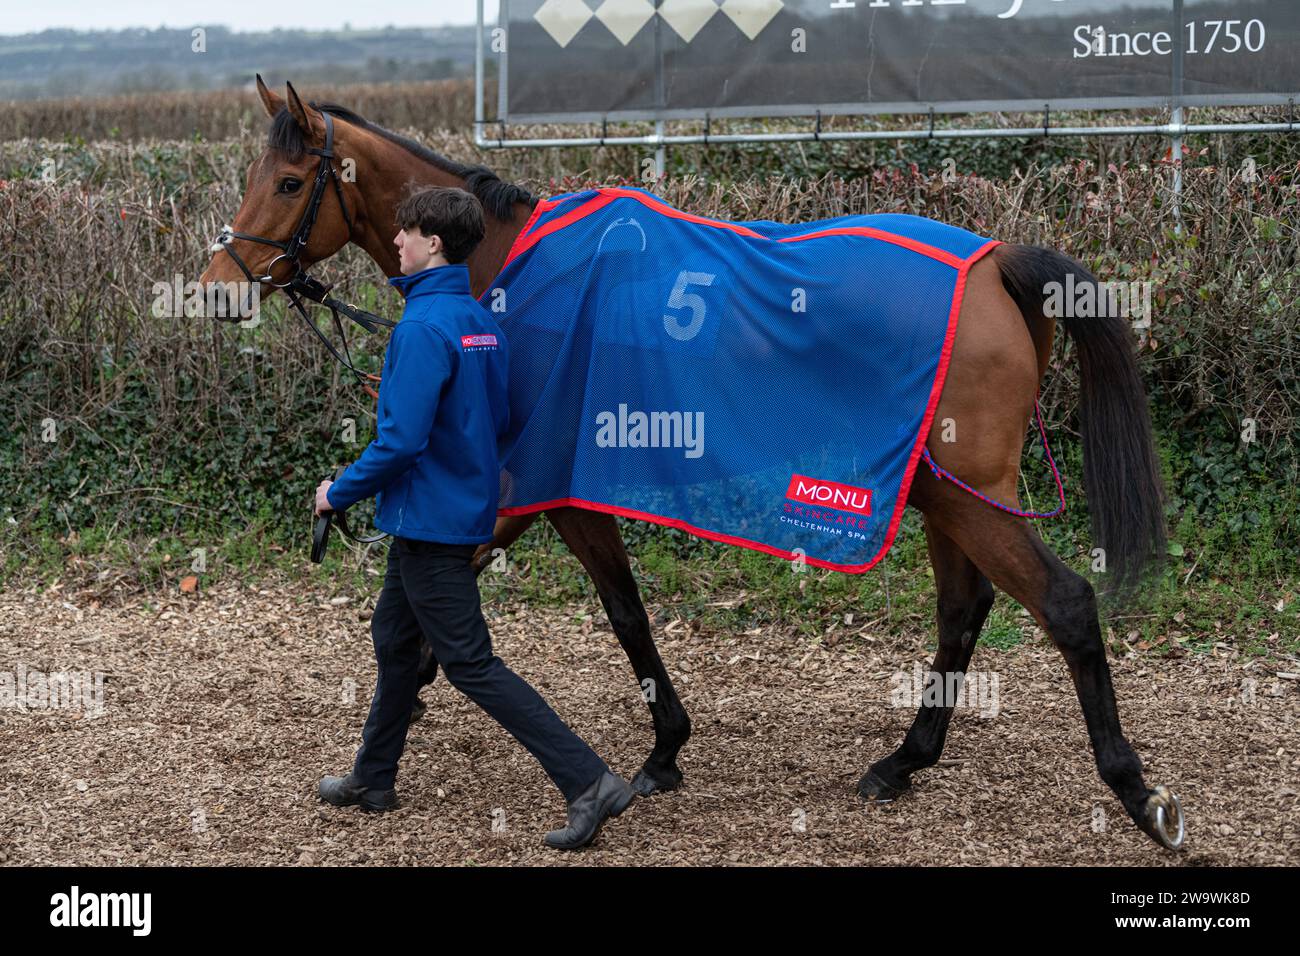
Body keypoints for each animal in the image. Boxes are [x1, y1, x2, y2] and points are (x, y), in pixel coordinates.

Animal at [200, 78, 1190, 848]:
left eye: (290, 180)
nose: (214, 290)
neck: (503, 269)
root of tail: (994, 265)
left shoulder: (545, 487)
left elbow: (611, 614)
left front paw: (656, 750)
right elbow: (442, 606)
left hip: (968, 499)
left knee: (1064, 605)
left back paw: (1137, 791)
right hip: (943, 496)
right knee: (964, 608)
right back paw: (903, 762)